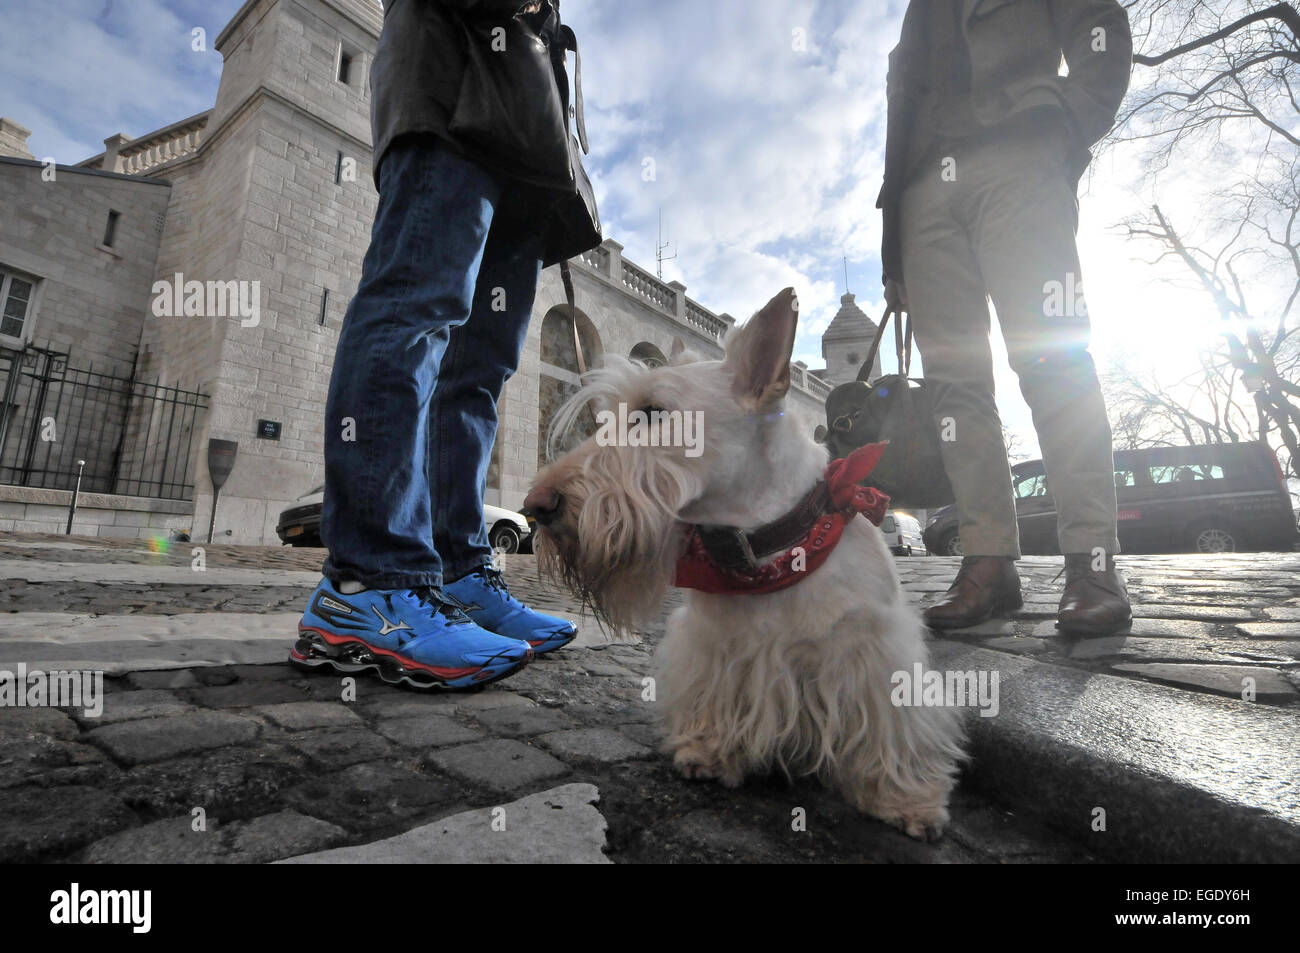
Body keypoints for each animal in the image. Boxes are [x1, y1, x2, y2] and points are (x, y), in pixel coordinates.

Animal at [525, 286, 967, 837]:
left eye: (652, 413)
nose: (536, 506)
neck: (768, 552)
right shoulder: (717, 644)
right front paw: (708, 749)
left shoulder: (872, 648)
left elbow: (889, 724)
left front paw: (905, 799)